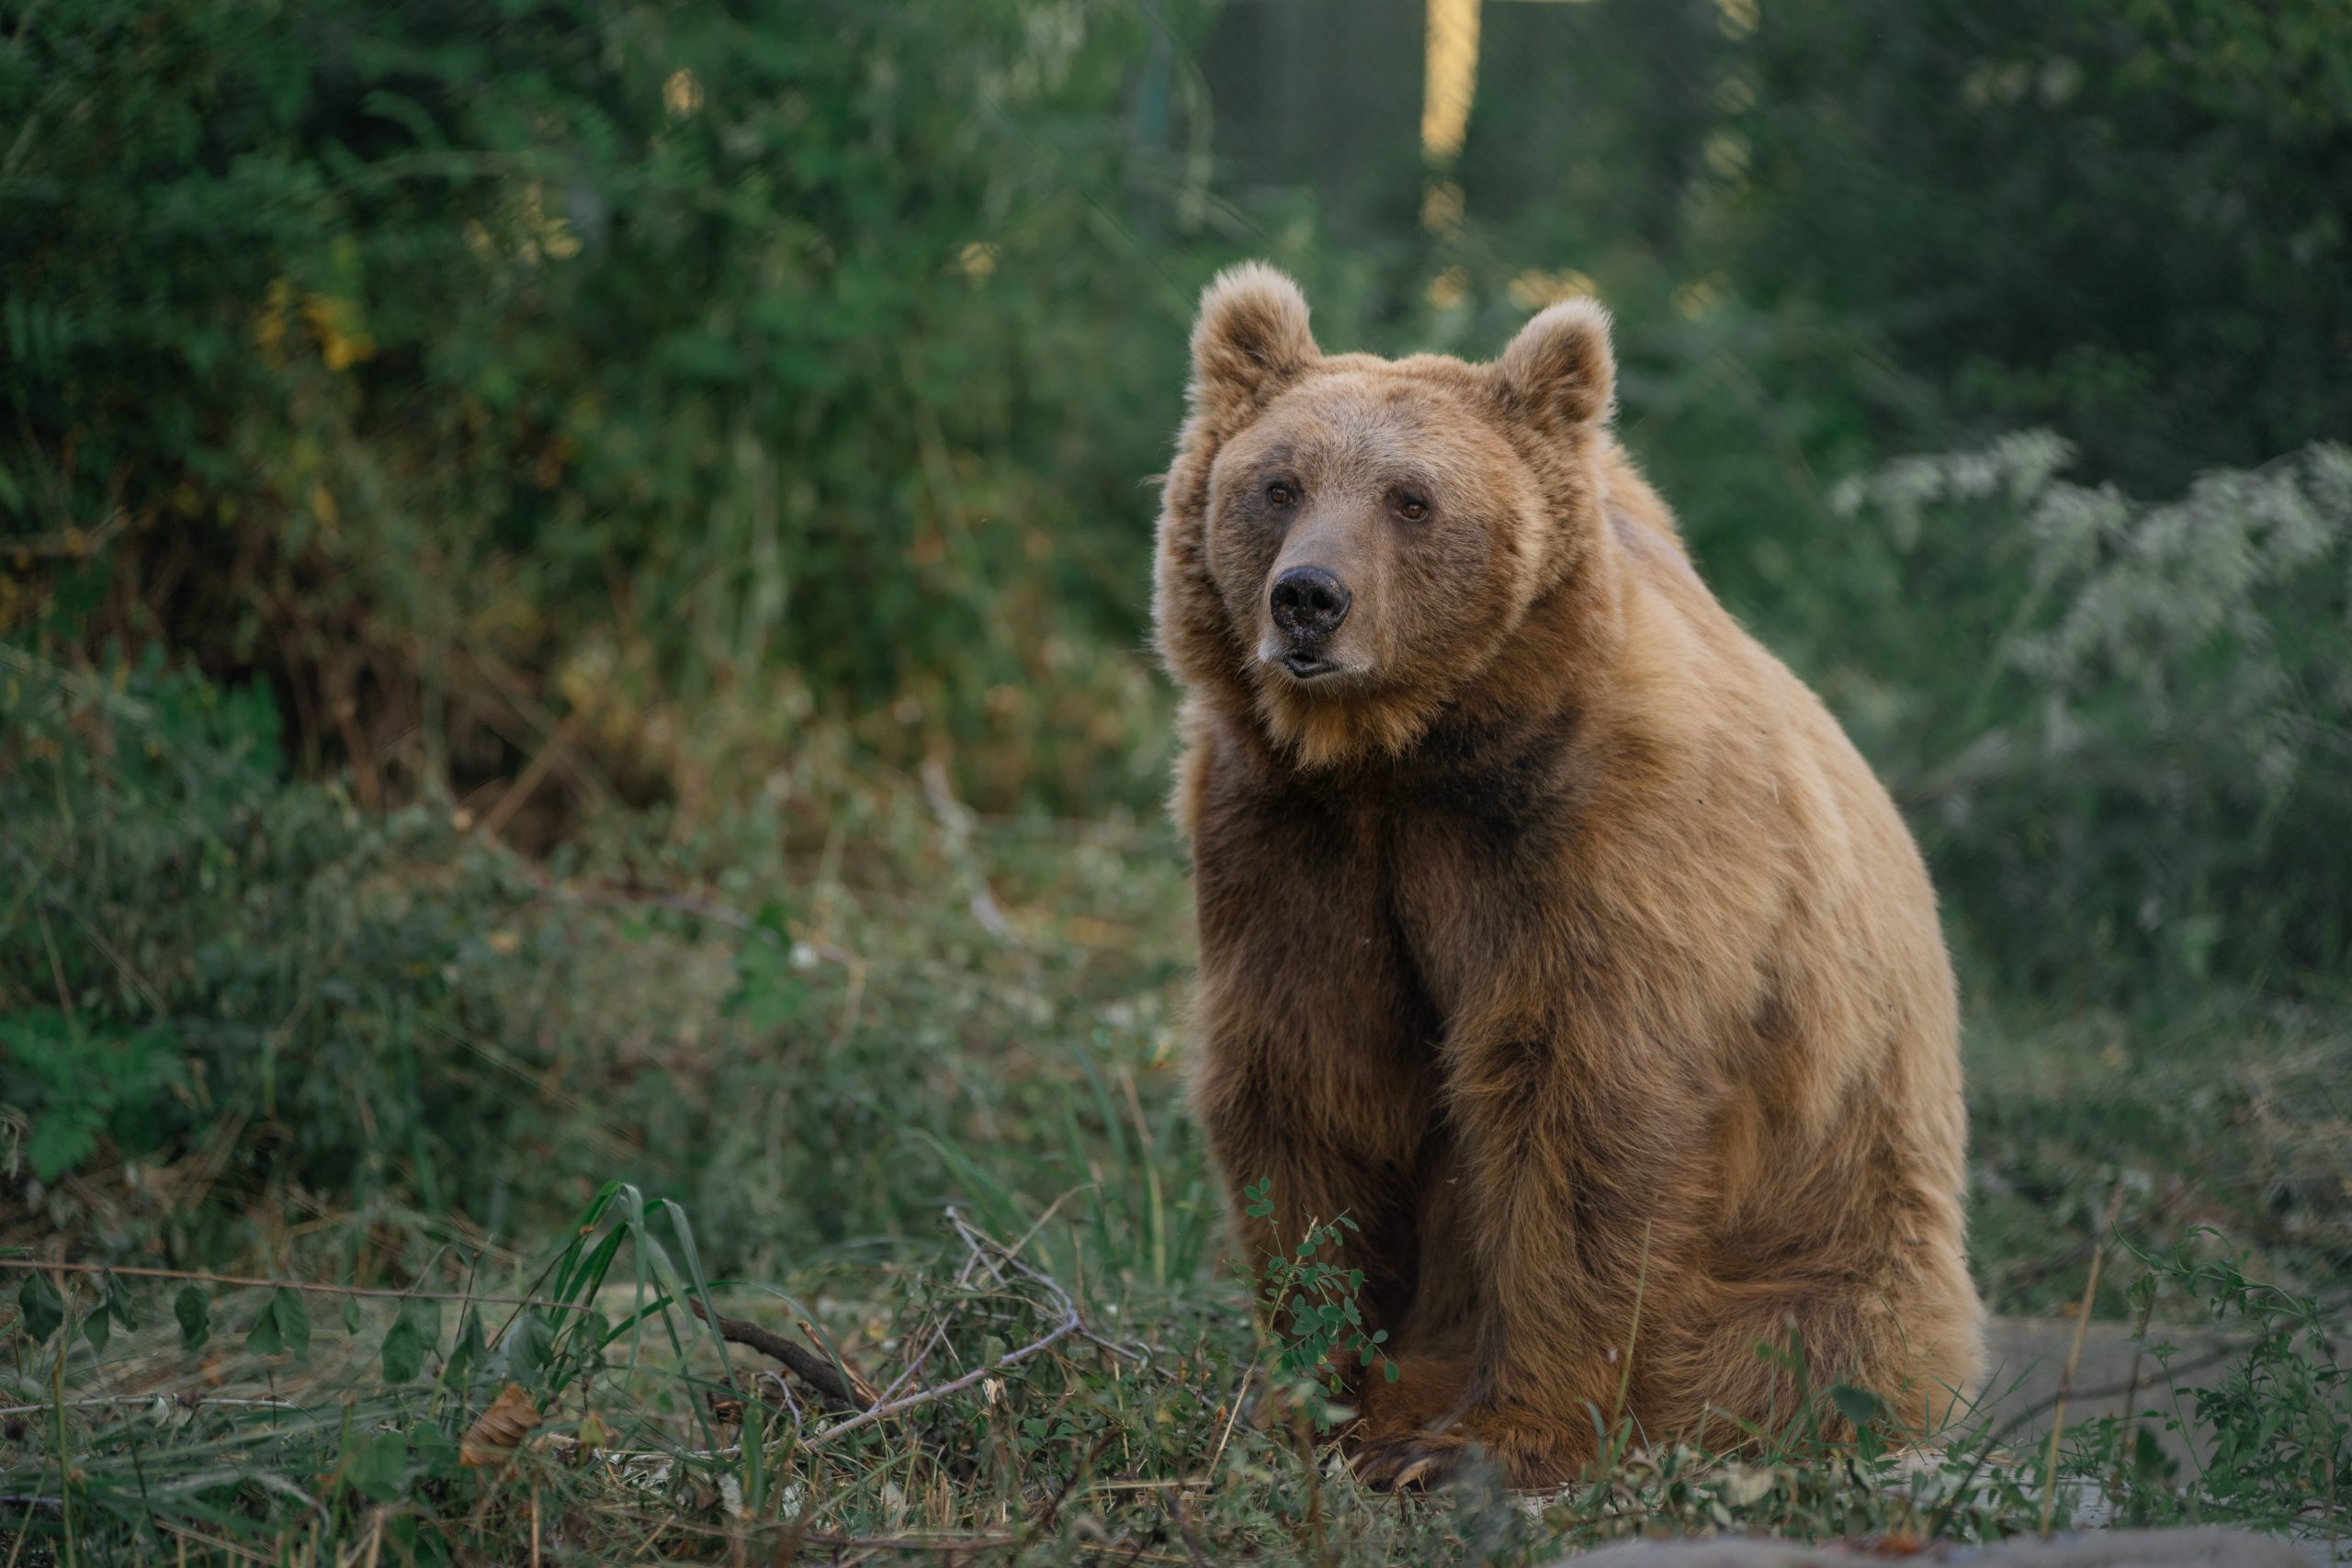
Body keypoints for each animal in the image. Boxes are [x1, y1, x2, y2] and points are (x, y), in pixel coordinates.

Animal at [1157, 263, 1984, 1495]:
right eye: (1277, 483)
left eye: (1411, 499)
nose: (1308, 600)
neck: (1403, 755)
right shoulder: (1287, 841)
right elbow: (1310, 1079)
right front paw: (1318, 1392)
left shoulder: (1598, 839)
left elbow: (1582, 1107)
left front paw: (1498, 1435)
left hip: (1830, 1250)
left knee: (1796, 1353)